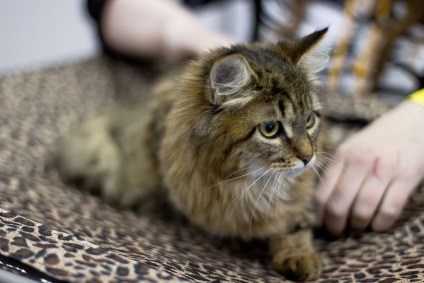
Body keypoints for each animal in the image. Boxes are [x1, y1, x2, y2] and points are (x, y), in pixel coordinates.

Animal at [53, 28, 330, 282]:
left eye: (309, 120)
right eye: (270, 129)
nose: (308, 157)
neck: (251, 181)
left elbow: (297, 223)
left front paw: (299, 256)